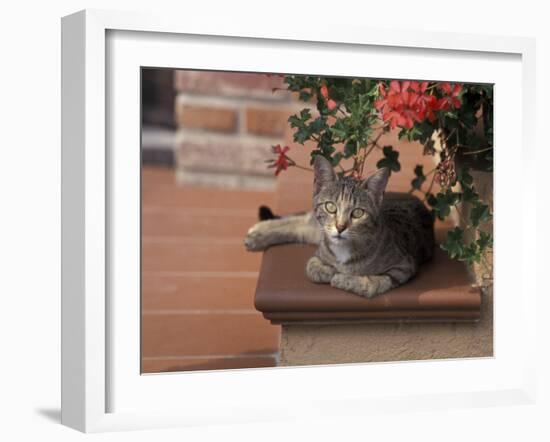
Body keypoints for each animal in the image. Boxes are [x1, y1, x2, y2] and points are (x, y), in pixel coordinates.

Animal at [246, 156, 436, 300]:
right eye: (330, 207)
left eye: (358, 213)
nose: (340, 226)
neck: (344, 249)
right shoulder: (319, 250)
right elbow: (311, 267)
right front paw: (329, 271)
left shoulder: (404, 265)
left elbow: (374, 283)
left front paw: (343, 279)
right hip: (318, 228)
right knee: (302, 220)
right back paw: (257, 233)